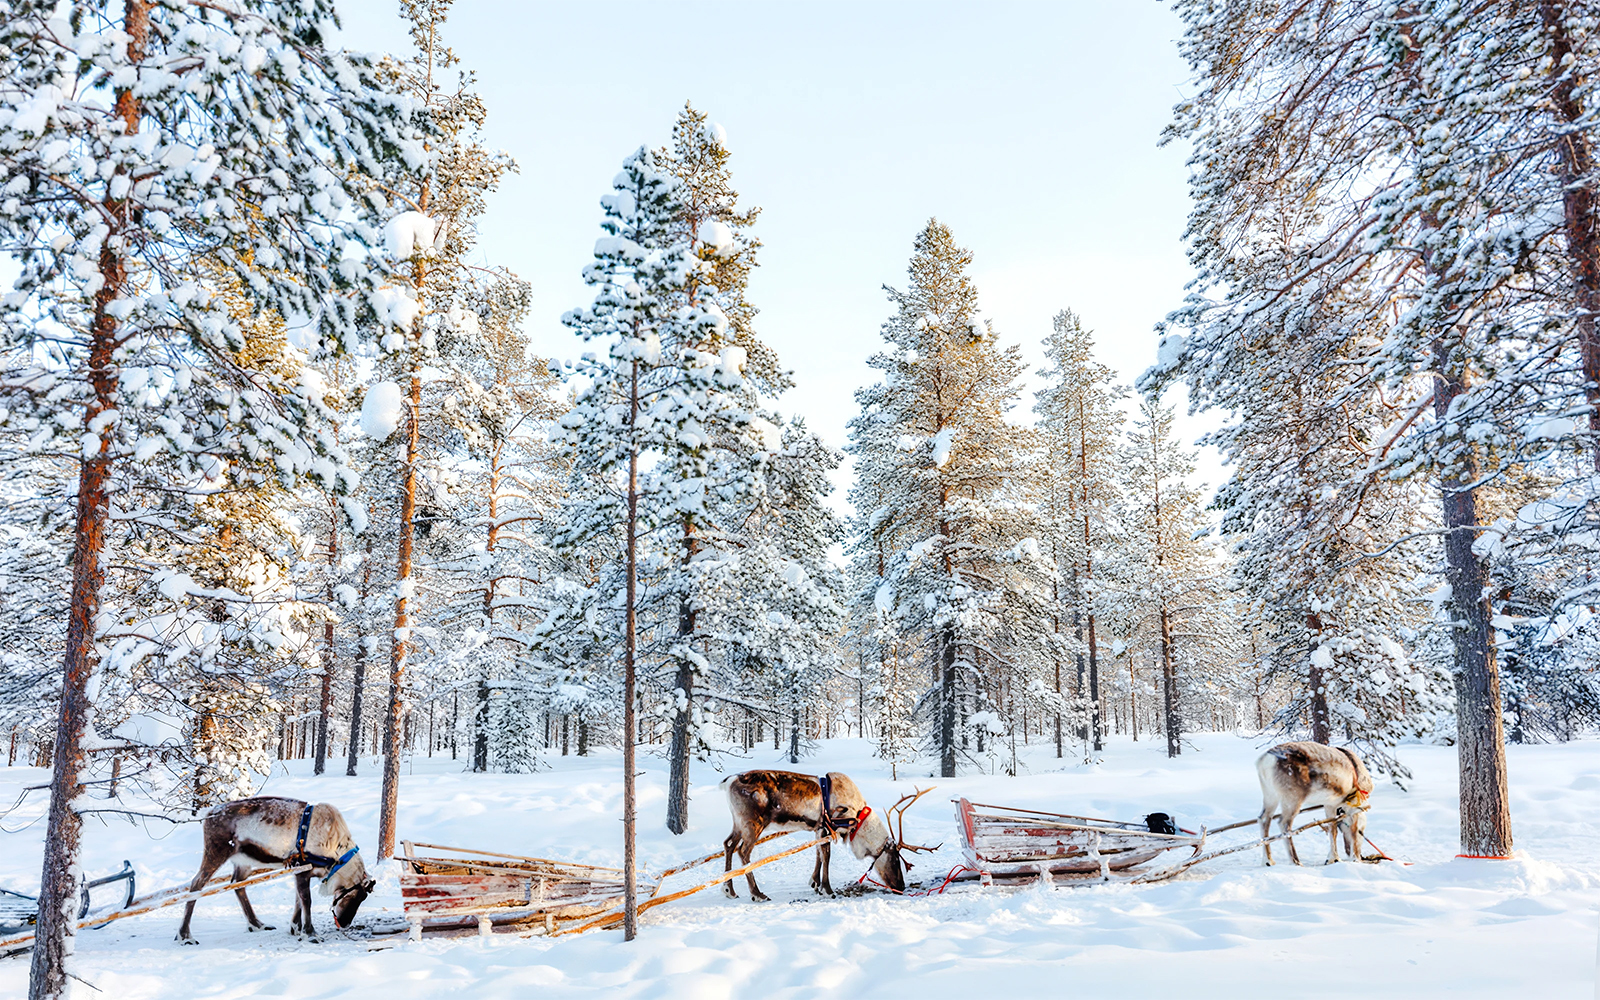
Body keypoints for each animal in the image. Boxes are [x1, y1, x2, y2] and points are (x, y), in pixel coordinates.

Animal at [176, 796, 375, 944]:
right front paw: (310, 933)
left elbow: (298, 900)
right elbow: (306, 900)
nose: (344, 924)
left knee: (237, 884)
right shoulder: (302, 868)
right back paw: (185, 936)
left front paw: (295, 928)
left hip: (244, 861)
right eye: (354, 896)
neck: (337, 854)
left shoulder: (300, 871)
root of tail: (208, 814)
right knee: (196, 885)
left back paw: (257, 924)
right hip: (216, 853)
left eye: (363, 898)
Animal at [721, 770, 939, 900]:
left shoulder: (819, 829)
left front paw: (815, 883)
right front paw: (827, 889)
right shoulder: (828, 827)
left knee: (728, 845)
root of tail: (728, 782)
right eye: (894, 859)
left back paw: (729, 890)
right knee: (743, 852)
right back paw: (757, 893)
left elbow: (818, 854)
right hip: (753, 824)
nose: (901, 886)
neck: (858, 817)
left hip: (738, 824)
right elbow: (826, 856)